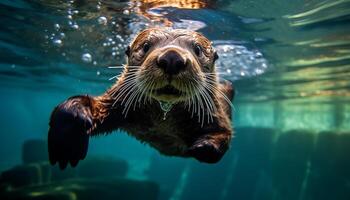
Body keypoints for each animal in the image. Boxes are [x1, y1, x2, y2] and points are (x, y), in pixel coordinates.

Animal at [48, 28, 235, 169]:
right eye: (146, 46)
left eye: (197, 49)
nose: (172, 57)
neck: (164, 122)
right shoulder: (118, 102)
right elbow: (93, 108)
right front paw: (68, 137)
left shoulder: (215, 113)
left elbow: (224, 133)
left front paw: (204, 146)